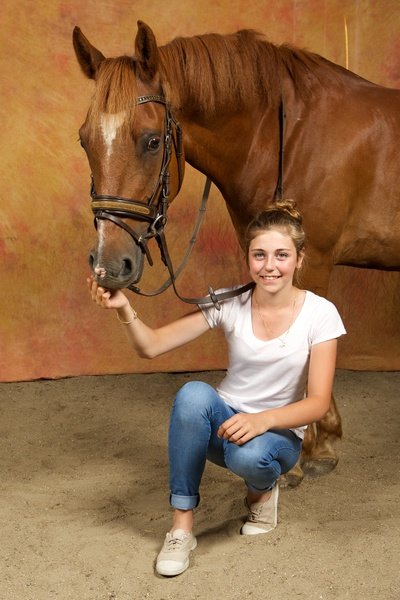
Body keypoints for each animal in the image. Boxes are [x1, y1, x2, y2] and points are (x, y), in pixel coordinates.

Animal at [72, 22, 400, 488]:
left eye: (152, 142)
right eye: (85, 141)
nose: (110, 266)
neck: (289, 134)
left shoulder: (312, 263)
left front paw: (307, 452)